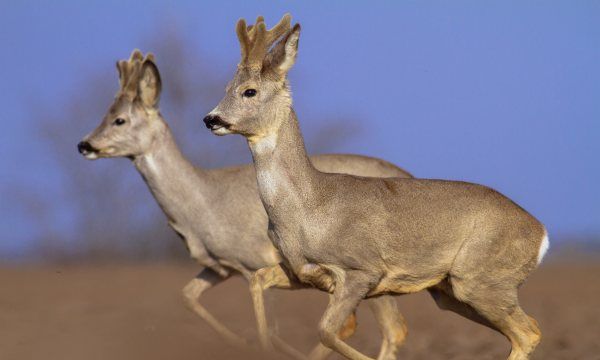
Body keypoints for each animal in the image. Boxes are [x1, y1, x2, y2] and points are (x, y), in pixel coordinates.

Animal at [78, 49, 412, 358]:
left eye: (120, 120)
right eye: (105, 114)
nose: (84, 144)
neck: (203, 202)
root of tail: (407, 174)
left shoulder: (255, 261)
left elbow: (272, 330)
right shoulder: (220, 266)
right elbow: (187, 296)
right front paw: (238, 341)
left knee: (388, 329)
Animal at [205, 14, 548, 360]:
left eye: (249, 91)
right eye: (226, 88)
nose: (211, 119)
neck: (308, 207)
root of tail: (541, 234)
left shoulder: (362, 270)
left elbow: (326, 331)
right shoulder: (300, 270)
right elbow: (257, 280)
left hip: (481, 279)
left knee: (528, 331)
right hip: (450, 290)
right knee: (524, 330)